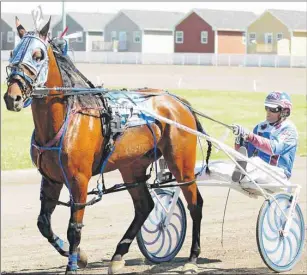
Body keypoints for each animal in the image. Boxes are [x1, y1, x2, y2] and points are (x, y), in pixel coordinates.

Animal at [4, 17, 212, 275]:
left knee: (195, 204)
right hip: (132, 166)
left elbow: (75, 227)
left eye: (38, 55)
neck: (67, 118)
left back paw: (192, 258)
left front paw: (73, 265)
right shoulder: (51, 178)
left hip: (181, 164)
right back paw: (118, 255)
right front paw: (80, 257)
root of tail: (177, 101)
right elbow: (43, 223)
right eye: (12, 52)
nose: (12, 97)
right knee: (144, 205)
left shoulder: (79, 179)